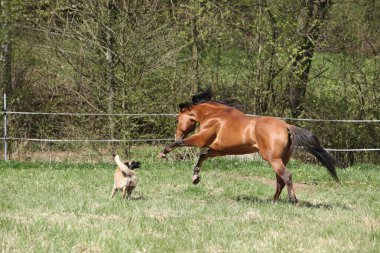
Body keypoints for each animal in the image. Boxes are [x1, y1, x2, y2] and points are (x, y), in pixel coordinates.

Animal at [159, 89, 340, 204]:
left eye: (178, 118)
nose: (177, 134)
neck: (215, 116)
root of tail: (286, 126)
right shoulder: (218, 150)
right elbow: (202, 156)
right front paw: (196, 178)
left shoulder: (201, 140)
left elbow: (182, 145)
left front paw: (163, 153)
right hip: (281, 159)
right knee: (280, 180)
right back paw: (273, 202)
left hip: (273, 159)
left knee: (286, 177)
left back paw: (293, 201)